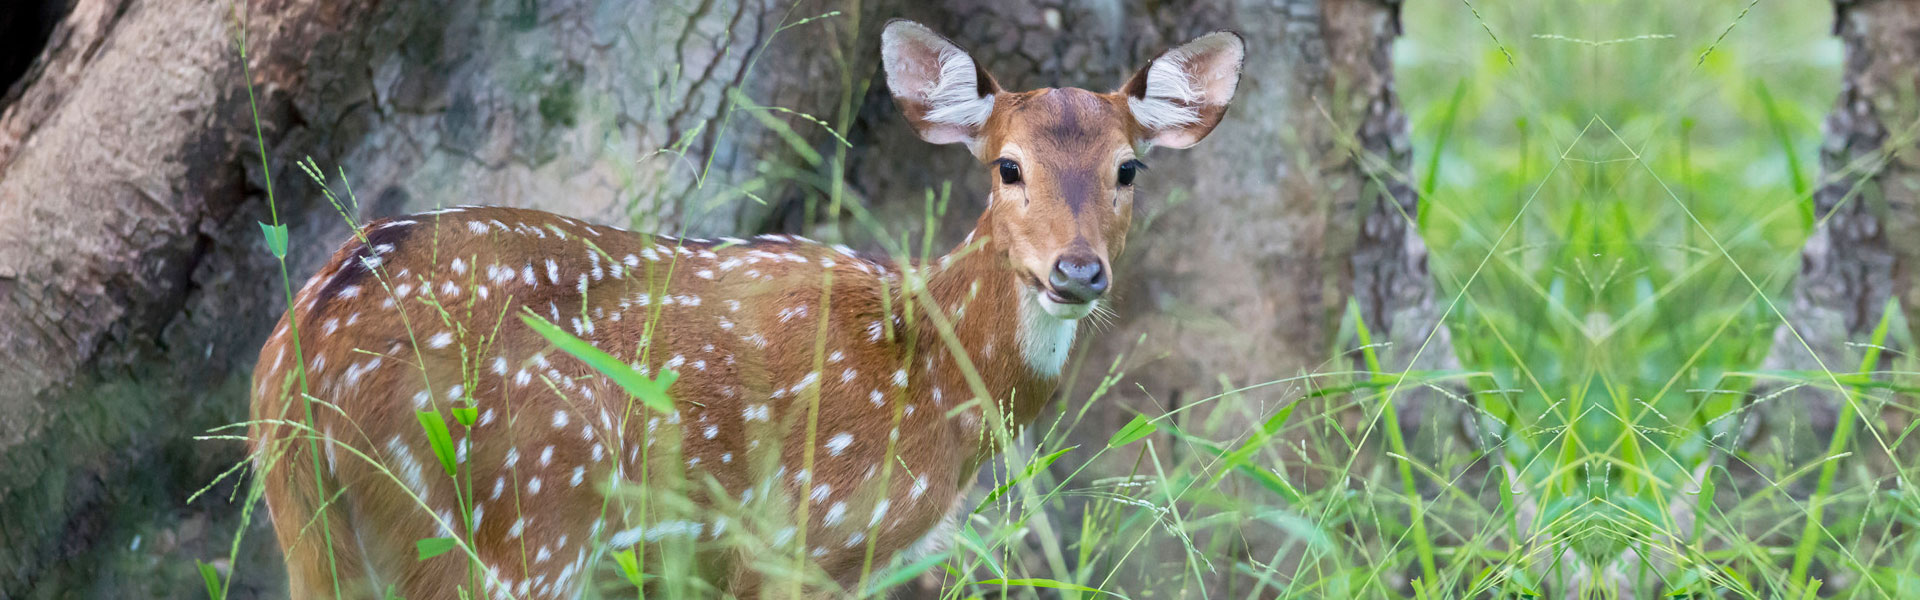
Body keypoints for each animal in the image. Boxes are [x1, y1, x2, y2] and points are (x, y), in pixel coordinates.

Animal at [251, 19, 1244, 600]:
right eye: (1008, 166)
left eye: (1128, 167)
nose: (1076, 271)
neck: (929, 373)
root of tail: (300, 357)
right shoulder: (795, 539)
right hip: (518, 518)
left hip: (318, 540)